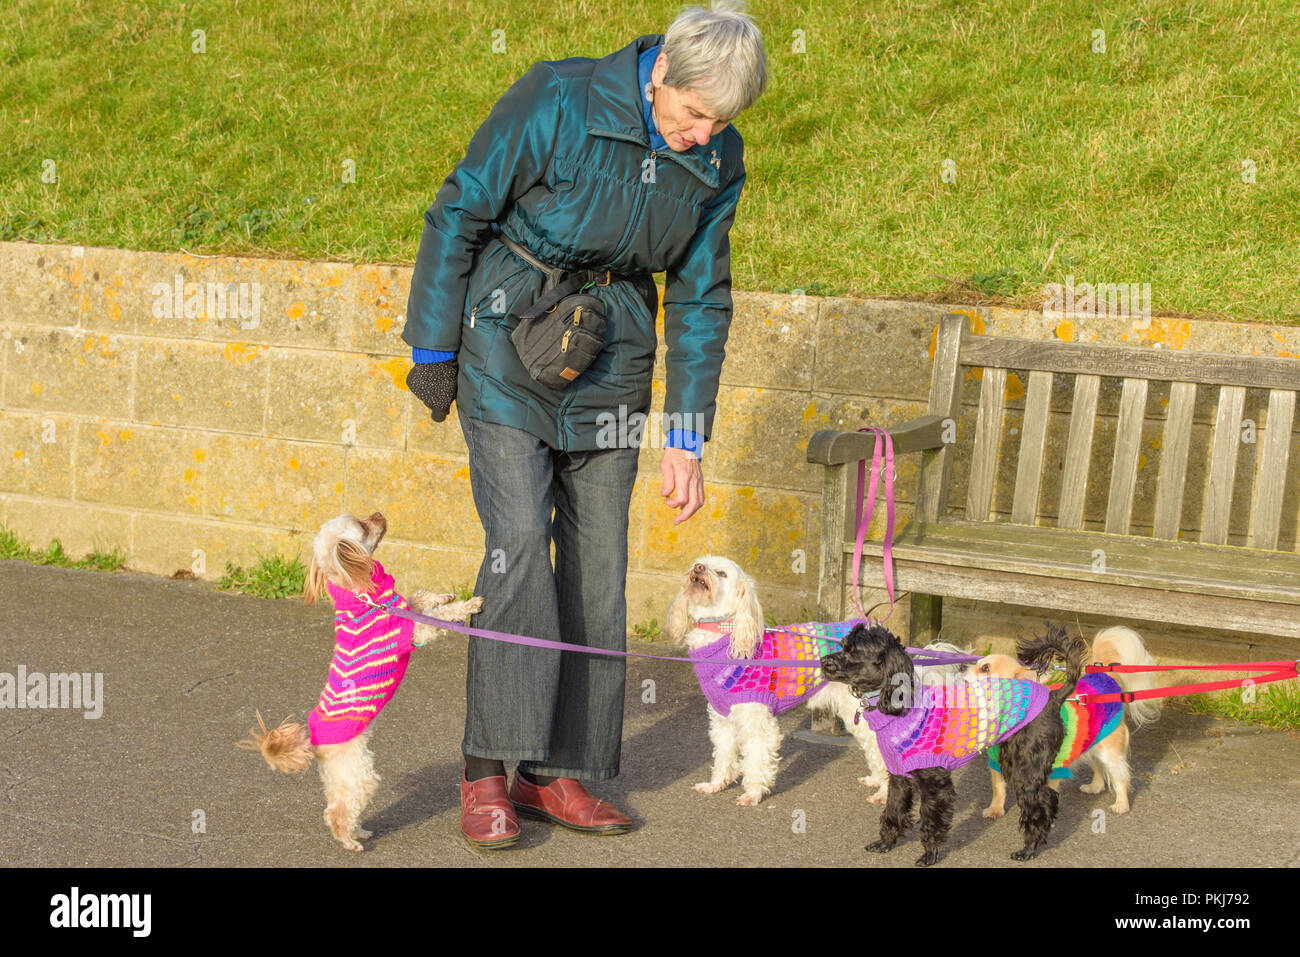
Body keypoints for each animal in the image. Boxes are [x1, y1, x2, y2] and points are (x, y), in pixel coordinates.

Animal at [237, 512, 483, 847]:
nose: (379, 514)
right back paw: (349, 841)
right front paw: (467, 605)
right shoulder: (415, 630)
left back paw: (359, 831)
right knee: (337, 813)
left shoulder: (407, 608)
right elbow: (441, 616)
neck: (363, 596)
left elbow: (420, 596)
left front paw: (444, 594)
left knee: (335, 805)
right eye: (362, 525)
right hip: (359, 774)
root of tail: (313, 742)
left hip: (340, 777)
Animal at [670, 553, 967, 806]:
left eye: (721, 573)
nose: (698, 568)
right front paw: (716, 784)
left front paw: (752, 795)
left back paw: (884, 791)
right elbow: (723, 755)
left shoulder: (758, 720)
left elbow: (756, 760)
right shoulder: (722, 719)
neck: (724, 633)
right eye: (699, 562)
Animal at [821, 621, 1086, 868]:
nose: (823, 661)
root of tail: (1053, 697)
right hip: (1015, 761)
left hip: (1026, 767)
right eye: (843, 646)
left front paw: (929, 855)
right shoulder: (899, 777)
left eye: (852, 652)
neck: (902, 707)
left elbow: (931, 821)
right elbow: (893, 811)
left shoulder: (935, 783)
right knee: (1049, 796)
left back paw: (1030, 848)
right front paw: (885, 843)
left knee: (1039, 803)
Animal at [972, 624, 1164, 816]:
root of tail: (1105, 678)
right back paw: (1095, 787)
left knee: (1119, 777)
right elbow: (998, 788)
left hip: (1109, 752)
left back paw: (1121, 804)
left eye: (985, 668)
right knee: (1098, 767)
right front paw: (995, 809)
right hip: (1091, 745)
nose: (964, 667)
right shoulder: (996, 763)